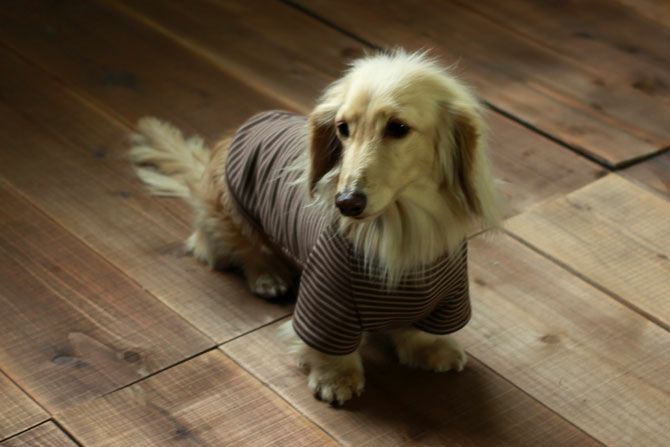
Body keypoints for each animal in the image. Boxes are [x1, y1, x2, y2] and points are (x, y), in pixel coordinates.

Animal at [130, 50, 500, 405]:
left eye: (397, 127)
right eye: (343, 128)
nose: (346, 202)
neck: (400, 229)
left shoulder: (447, 294)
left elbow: (419, 328)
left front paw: (429, 348)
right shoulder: (326, 297)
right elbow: (328, 345)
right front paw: (335, 378)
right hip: (228, 210)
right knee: (234, 248)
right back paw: (268, 274)